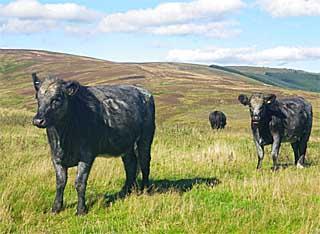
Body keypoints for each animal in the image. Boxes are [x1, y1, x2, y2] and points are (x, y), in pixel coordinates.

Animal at [31, 73, 155, 216]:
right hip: (127, 145)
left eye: (57, 99)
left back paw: (145, 190)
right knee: (131, 165)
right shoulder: (56, 157)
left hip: (145, 138)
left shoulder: (86, 156)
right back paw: (126, 191)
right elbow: (60, 183)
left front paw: (81, 210)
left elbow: (79, 183)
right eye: (37, 97)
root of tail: (143, 91)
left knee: (145, 162)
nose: (38, 120)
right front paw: (55, 208)